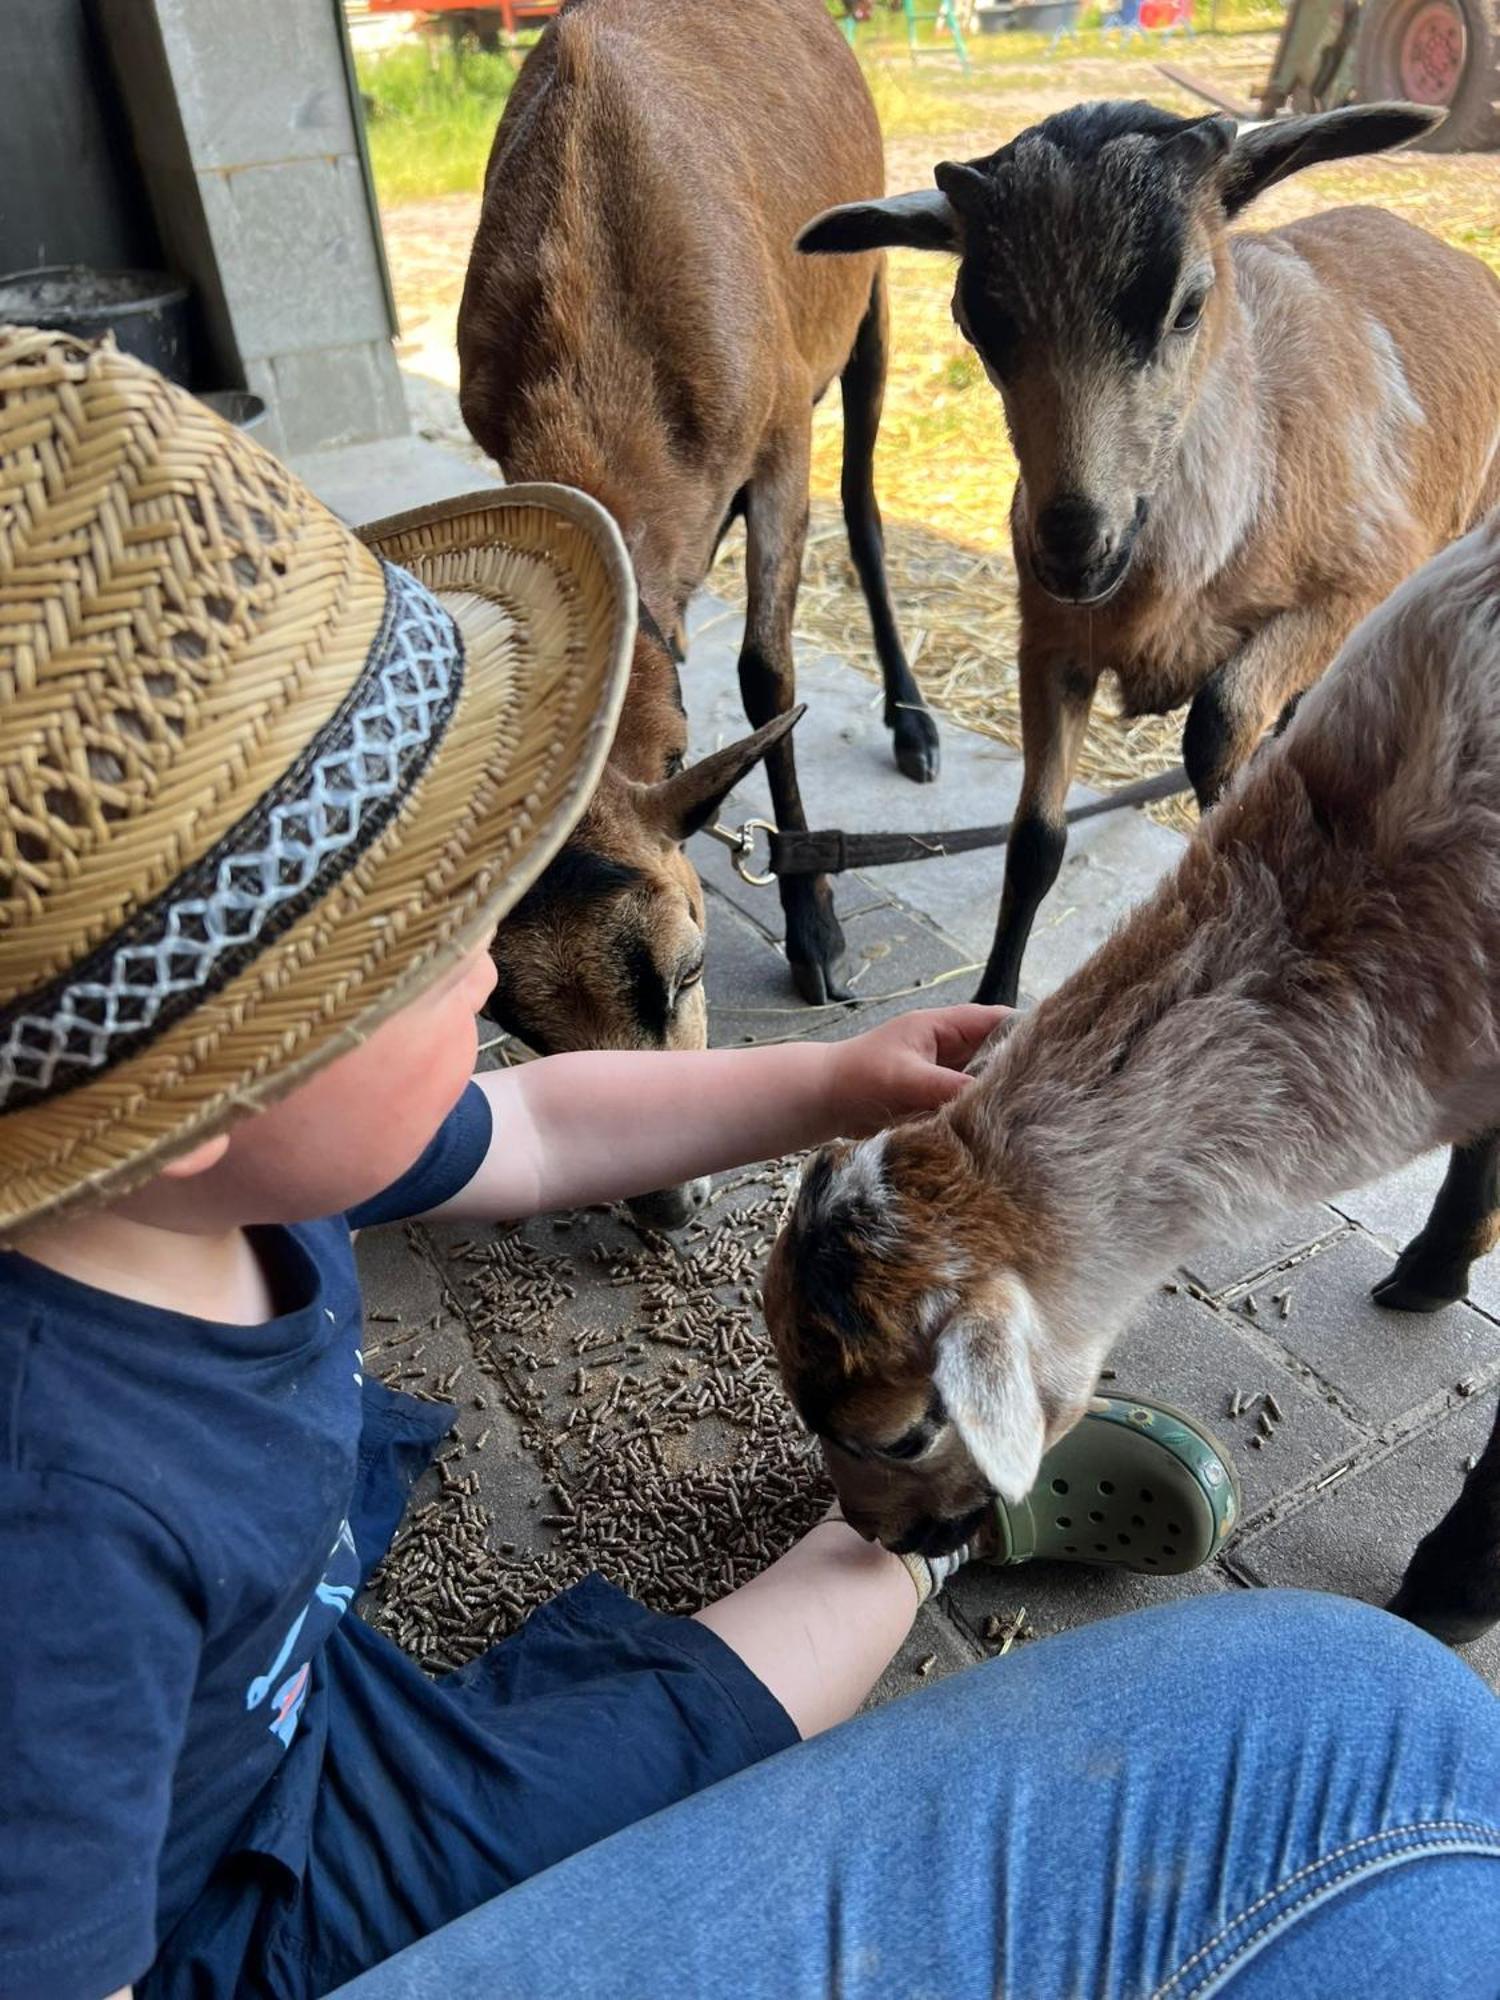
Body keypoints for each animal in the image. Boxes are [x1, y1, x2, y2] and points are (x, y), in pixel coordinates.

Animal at [458, 0, 940, 1088]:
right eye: (519, 1021)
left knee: (864, 507)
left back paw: (913, 724)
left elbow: (768, 672)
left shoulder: (780, 426)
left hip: (869, 304)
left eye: (687, 960)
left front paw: (818, 934)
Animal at [804, 101, 1500, 1008]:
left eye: (1188, 306)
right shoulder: (1049, 643)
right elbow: (1033, 844)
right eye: (973, 321)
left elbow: (1218, 729)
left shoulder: (1359, 583)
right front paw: (990, 1008)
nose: (1073, 547)